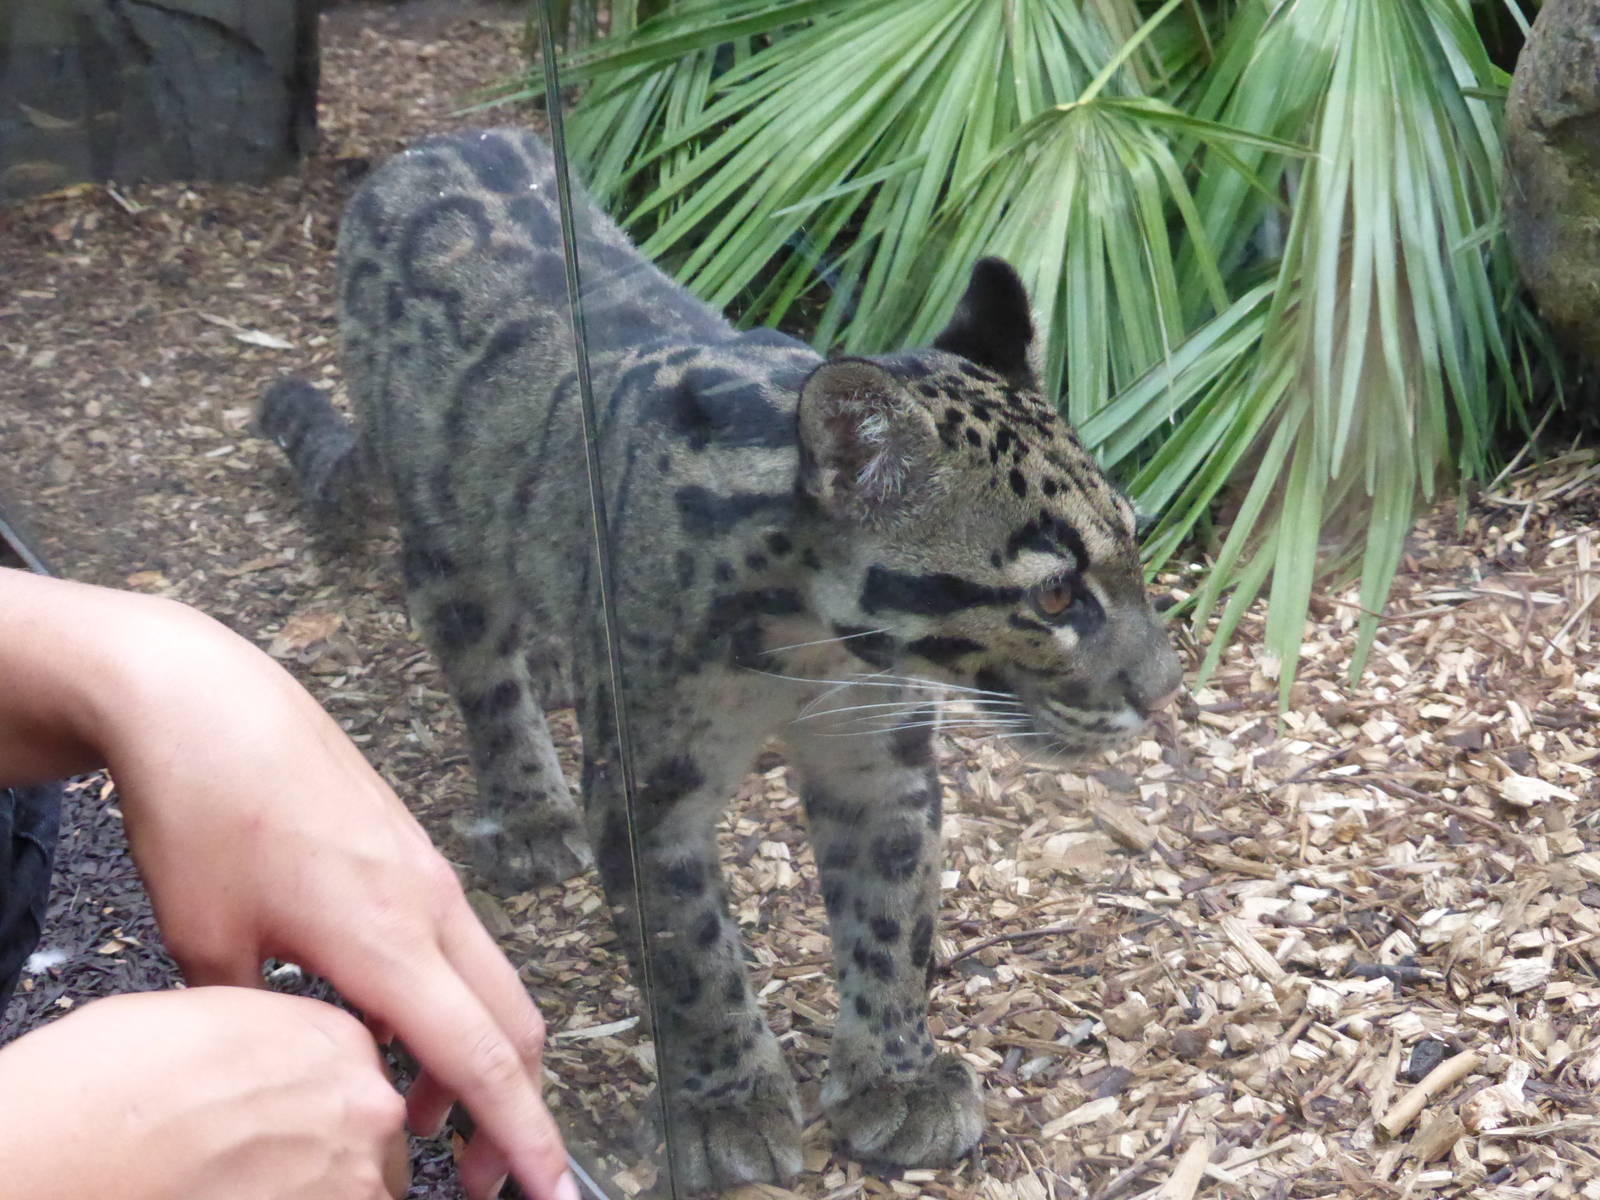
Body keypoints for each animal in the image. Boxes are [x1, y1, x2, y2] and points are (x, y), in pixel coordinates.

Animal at [260, 127, 1182, 1192]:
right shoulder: (646, 789)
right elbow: (689, 953)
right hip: (448, 534)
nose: (1162, 692)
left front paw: (894, 1077)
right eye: (1055, 596)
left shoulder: (883, 765)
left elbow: (894, 919)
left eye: (1136, 537)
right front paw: (727, 1104)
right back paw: (529, 808)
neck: (816, 651)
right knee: (482, 666)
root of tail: (427, 145)